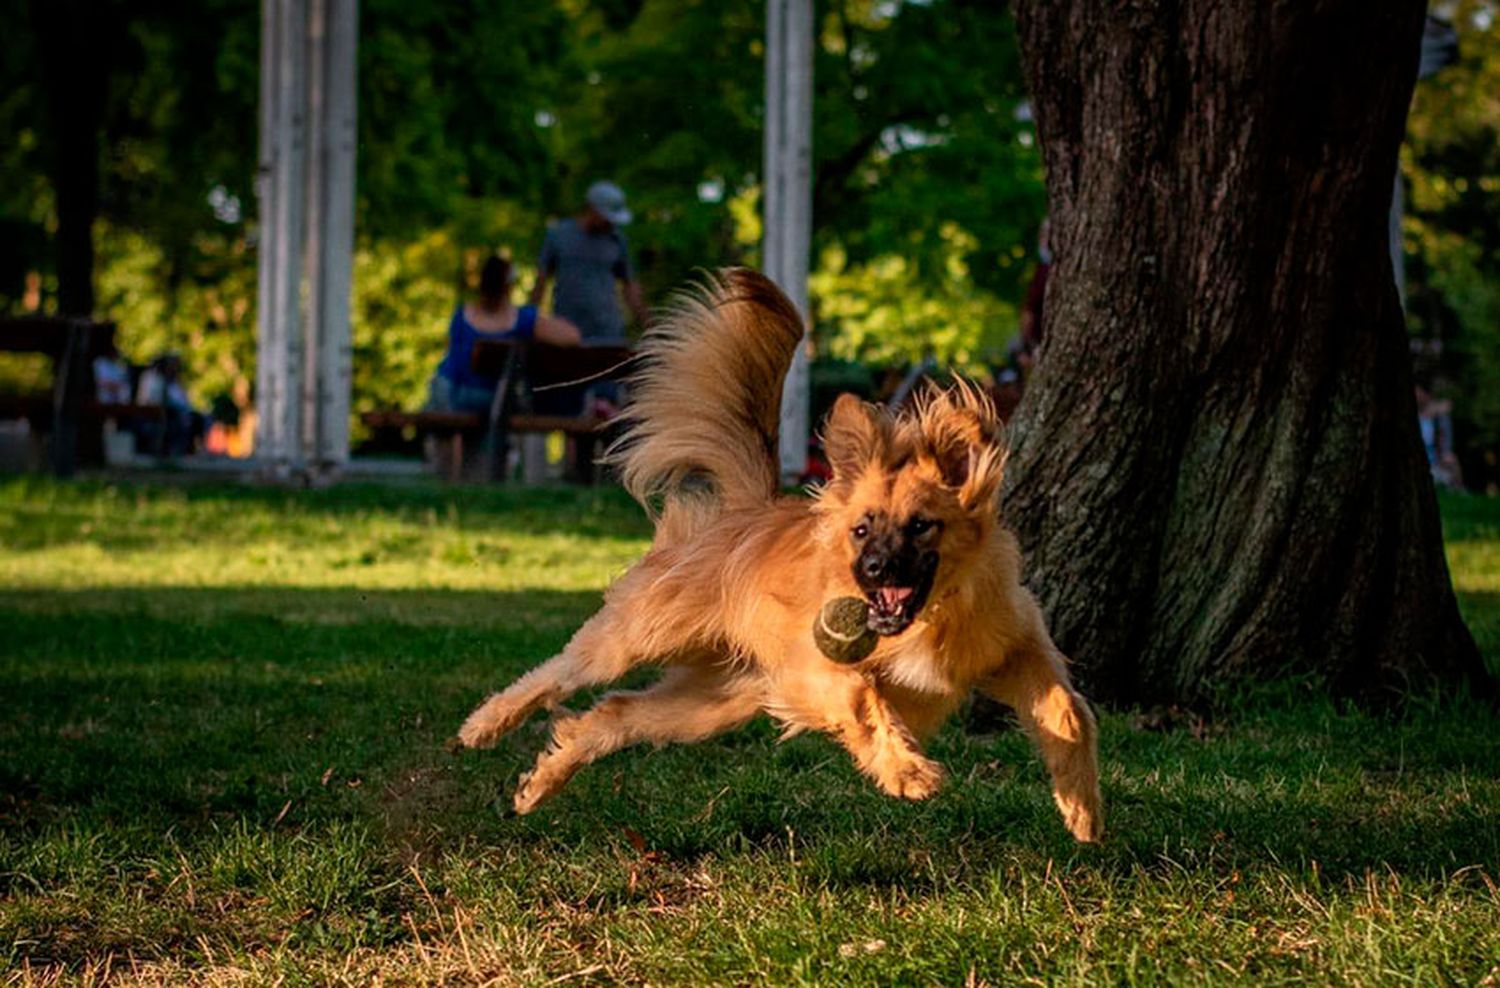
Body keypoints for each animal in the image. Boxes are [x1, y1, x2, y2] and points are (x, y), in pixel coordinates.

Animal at [456, 268, 1104, 845]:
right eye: (862, 530)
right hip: (643, 635)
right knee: (564, 669)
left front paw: (1081, 805)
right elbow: (864, 698)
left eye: (922, 527)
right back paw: (485, 724)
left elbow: (1069, 712)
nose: (872, 573)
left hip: (715, 702)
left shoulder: (1014, 644)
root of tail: (746, 511)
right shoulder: (813, 665)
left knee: (614, 713)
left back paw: (541, 783)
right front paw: (907, 771)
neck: (928, 617)